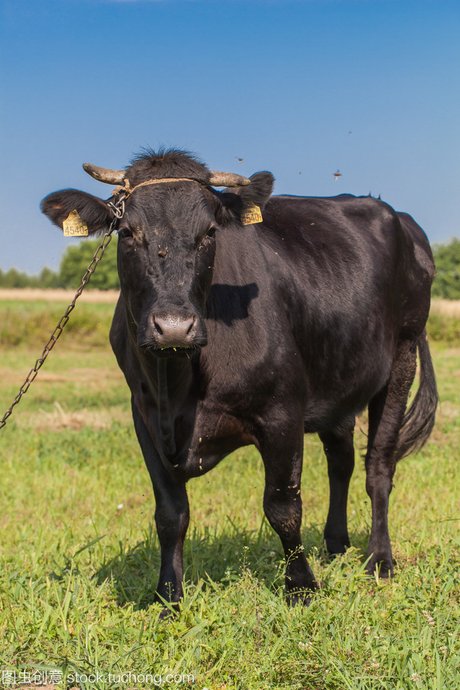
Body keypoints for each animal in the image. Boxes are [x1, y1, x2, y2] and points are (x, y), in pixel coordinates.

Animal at [43, 148, 438, 604]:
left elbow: (283, 507)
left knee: (378, 468)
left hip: (401, 358)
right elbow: (170, 514)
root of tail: (399, 218)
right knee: (341, 461)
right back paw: (336, 545)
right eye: (127, 232)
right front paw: (168, 596)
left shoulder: (283, 411)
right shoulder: (144, 416)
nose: (174, 327)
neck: (179, 385)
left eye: (209, 232)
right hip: (339, 378)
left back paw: (379, 559)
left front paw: (301, 587)